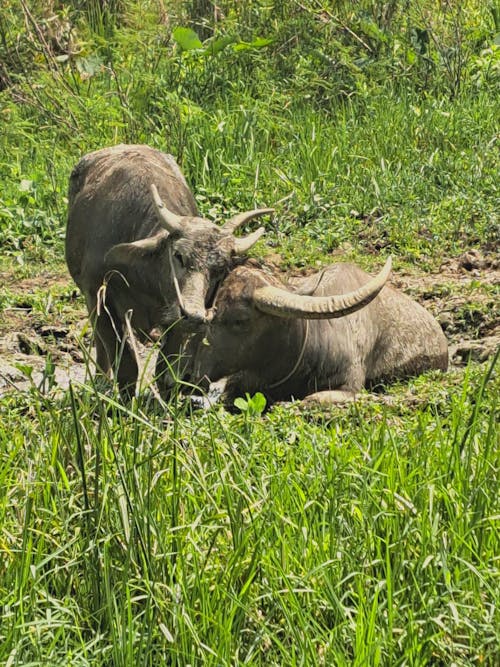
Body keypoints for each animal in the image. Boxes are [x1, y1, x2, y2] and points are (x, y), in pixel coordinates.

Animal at [66, 145, 274, 396]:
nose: (193, 315)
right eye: (179, 256)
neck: (144, 276)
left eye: (220, 269)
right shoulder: (98, 295)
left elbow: (166, 371)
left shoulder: (176, 322)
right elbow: (125, 363)